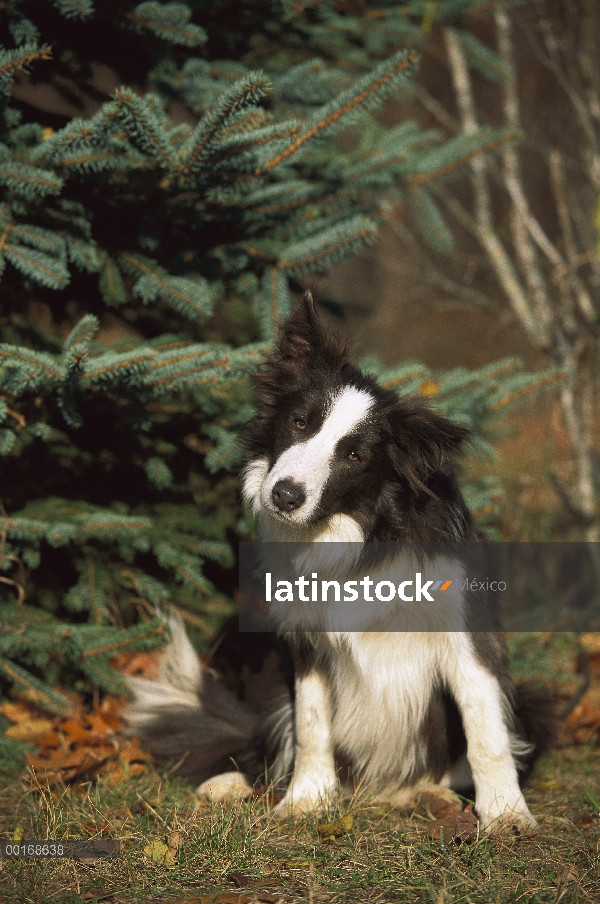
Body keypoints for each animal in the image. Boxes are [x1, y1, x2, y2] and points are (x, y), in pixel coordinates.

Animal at [125, 290, 552, 832]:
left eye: (354, 456)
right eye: (299, 422)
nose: (284, 496)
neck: (358, 533)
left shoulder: (466, 635)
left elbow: (486, 732)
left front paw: (506, 816)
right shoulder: (305, 639)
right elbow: (311, 725)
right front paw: (306, 800)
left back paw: (426, 795)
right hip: (271, 683)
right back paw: (233, 785)